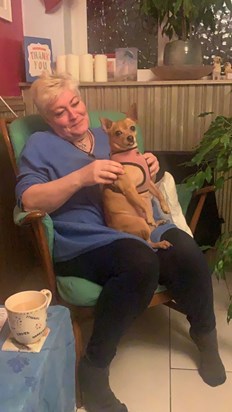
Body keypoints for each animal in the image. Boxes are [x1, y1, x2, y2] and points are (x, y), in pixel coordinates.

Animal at [100, 104, 171, 249]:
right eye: (118, 133)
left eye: (132, 128)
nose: (130, 138)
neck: (129, 153)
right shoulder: (130, 189)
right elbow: (143, 203)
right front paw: (150, 215)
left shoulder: (149, 183)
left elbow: (159, 193)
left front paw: (165, 207)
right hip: (140, 223)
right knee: (149, 242)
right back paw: (159, 240)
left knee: (151, 231)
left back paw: (159, 222)